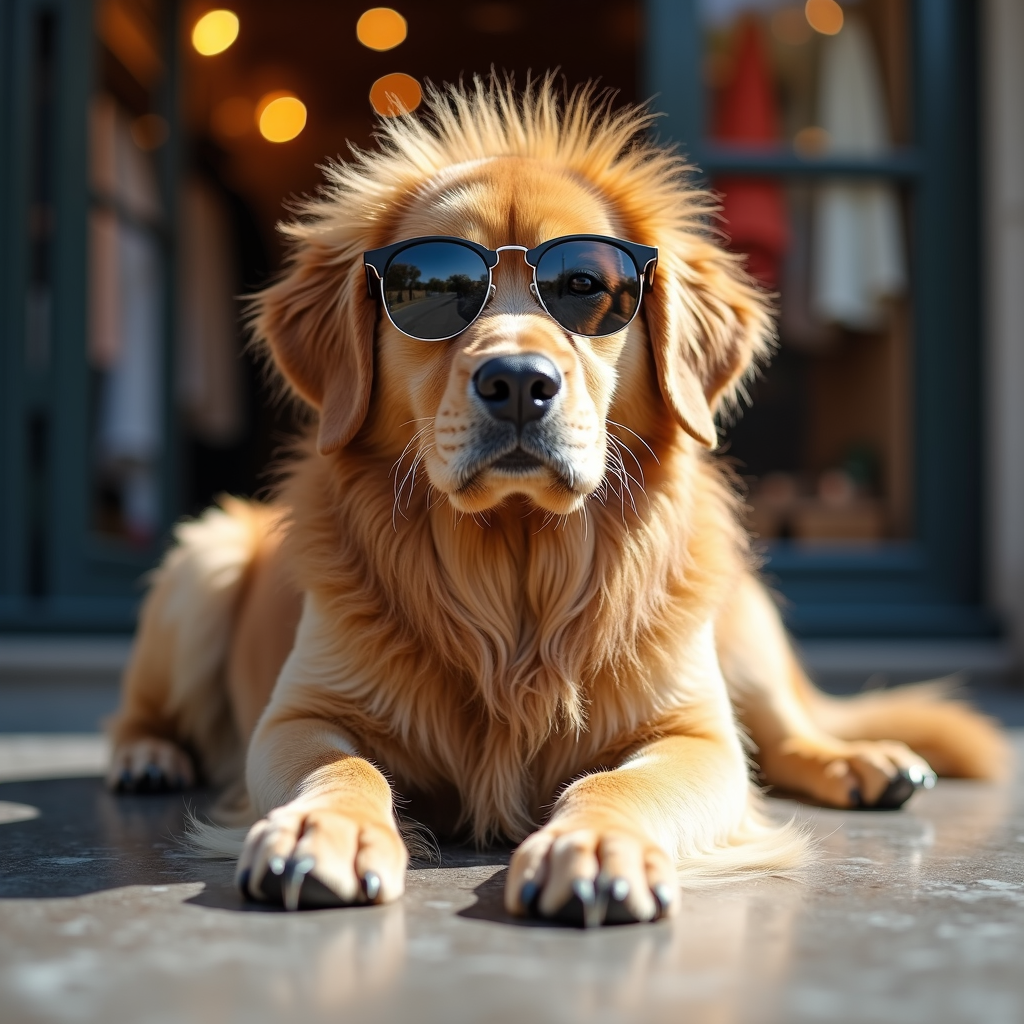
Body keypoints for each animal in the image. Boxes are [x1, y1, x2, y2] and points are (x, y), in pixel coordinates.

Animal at [105, 77, 1007, 929]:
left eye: (587, 288)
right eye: (430, 290)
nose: (516, 382)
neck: (516, 571)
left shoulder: (696, 734)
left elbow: (623, 782)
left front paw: (599, 846)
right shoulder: (298, 714)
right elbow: (344, 766)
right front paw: (320, 828)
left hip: (742, 626)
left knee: (789, 730)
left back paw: (864, 761)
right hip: (206, 560)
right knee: (144, 707)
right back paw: (146, 755)